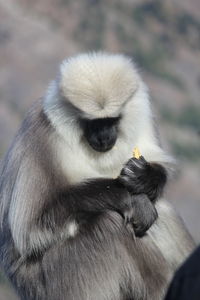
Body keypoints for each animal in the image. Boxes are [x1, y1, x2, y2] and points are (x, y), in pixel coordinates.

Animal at [0, 52, 195, 298]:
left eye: (112, 121)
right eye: (93, 123)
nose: (104, 137)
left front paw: (145, 177)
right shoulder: (41, 134)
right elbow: (31, 228)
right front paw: (131, 199)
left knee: (160, 208)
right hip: (57, 281)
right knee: (109, 225)